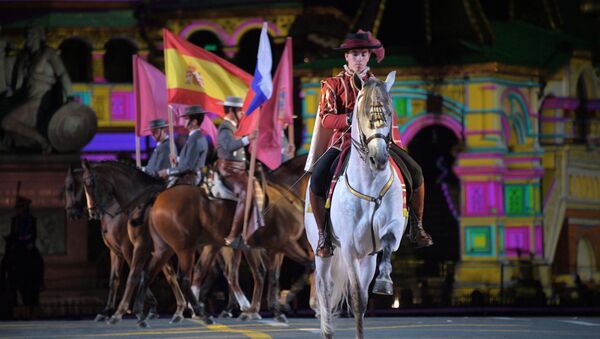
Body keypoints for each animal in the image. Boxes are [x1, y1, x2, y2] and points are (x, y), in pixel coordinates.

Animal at [304, 70, 408, 338]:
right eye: (363, 114)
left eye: (389, 113)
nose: (379, 158)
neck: (369, 185)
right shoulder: (349, 248)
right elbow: (356, 298)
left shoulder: (386, 234)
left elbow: (388, 244)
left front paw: (384, 282)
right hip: (324, 252)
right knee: (325, 288)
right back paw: (327, 330)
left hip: (366, 258)